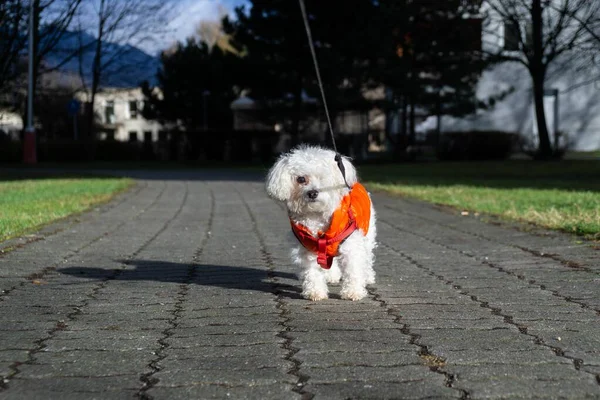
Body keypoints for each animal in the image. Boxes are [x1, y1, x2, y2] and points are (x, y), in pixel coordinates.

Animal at [266, 145, 378, 300]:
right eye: (301, 179)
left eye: (324, 178)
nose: (312, 193)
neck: (316, 216)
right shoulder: (308, 249)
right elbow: (312, 273)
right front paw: (315, 292)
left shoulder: (351, 246)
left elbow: (353, 270)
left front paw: (353, 292)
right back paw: (331, 275)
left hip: (367, 235)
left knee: (366, 258)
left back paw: (367, 277)